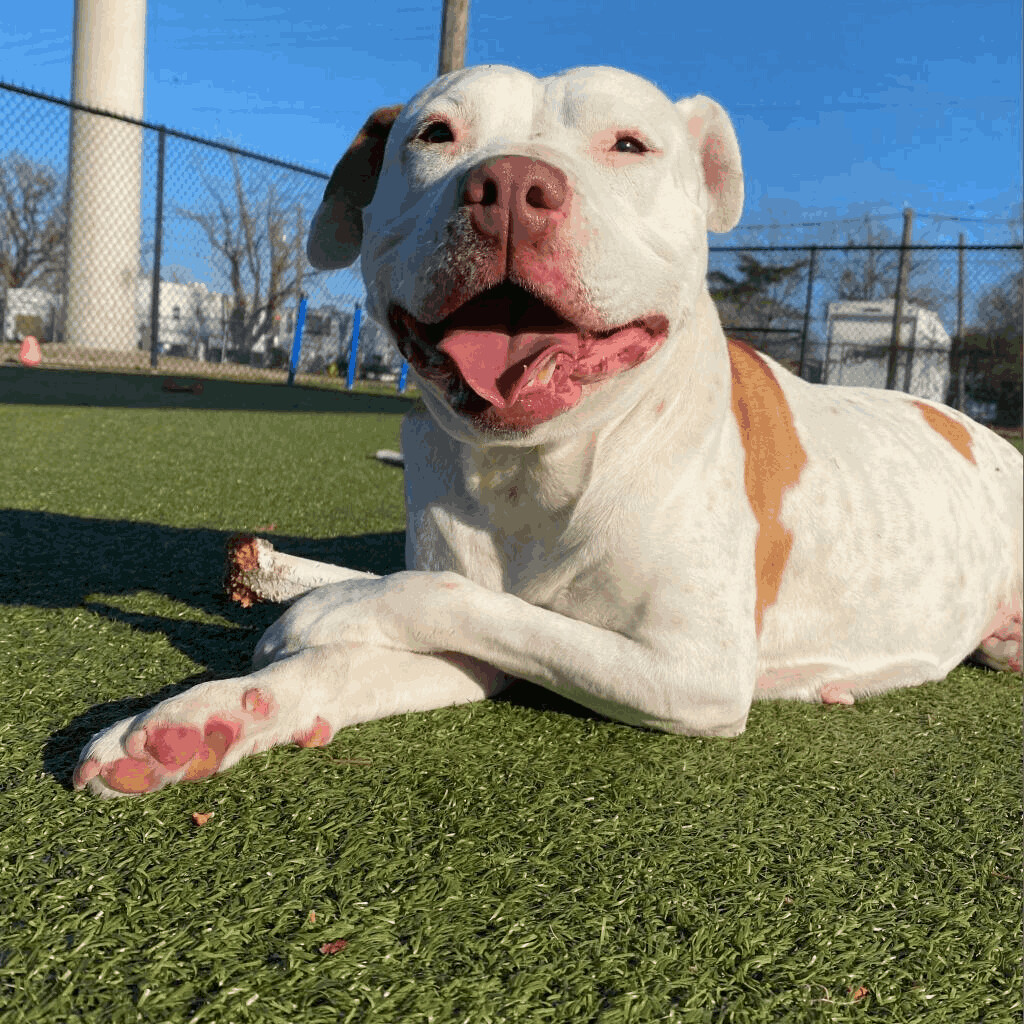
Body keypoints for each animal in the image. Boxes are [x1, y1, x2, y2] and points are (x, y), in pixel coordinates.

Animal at [74, 66, 1024, 798]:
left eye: (630, 145)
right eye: (435, 134)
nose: (509, 189)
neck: (539, 467)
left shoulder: (692, 669)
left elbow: (437, 596)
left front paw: (323, 601)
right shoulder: (501, 641)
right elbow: (412, 629)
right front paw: (203, 718)